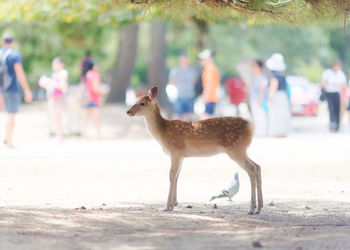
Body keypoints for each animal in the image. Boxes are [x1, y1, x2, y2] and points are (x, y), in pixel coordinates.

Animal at [126, 87, 262, 214]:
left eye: (142, 103)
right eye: (136, 100)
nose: (128, 111)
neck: (162, 132)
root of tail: (250, 127)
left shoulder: (175, 150)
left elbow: (171, 175)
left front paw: (166, 207)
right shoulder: (181, 155)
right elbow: (177, 176)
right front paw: (174, 204)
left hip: (234, 149)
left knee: (251, 171)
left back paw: (251, 209)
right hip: (241, 149)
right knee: (257, 166)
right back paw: (259, 207)